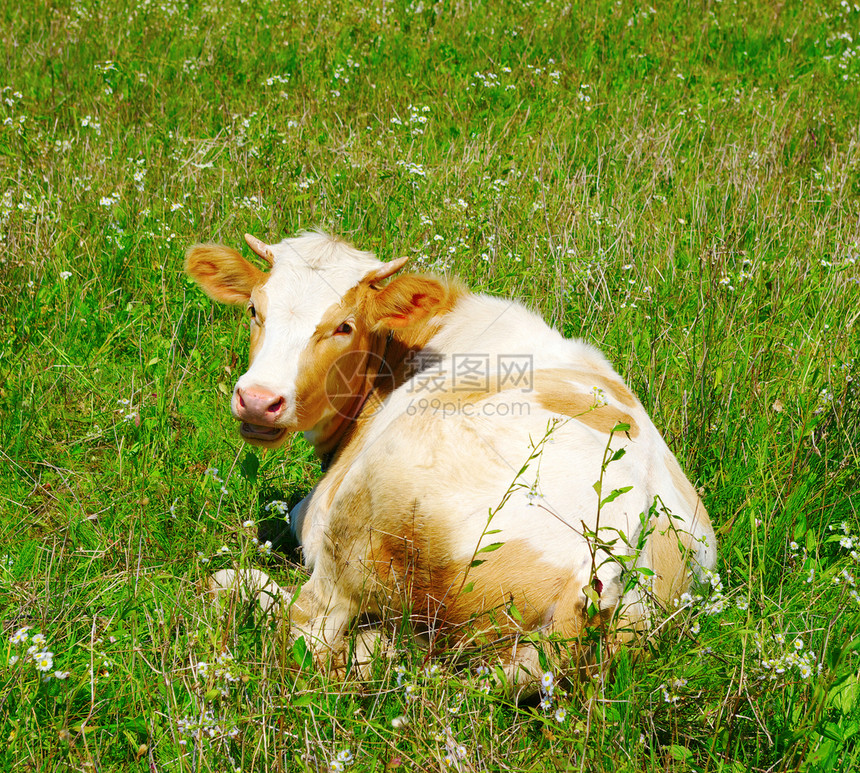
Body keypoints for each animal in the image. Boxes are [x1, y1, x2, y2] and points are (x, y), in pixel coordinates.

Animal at [185, 231, 716, 688]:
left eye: (344, 326)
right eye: (254, 310)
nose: (258, 400)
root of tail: (620, 544)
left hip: (366, 509)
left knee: (309, 630)